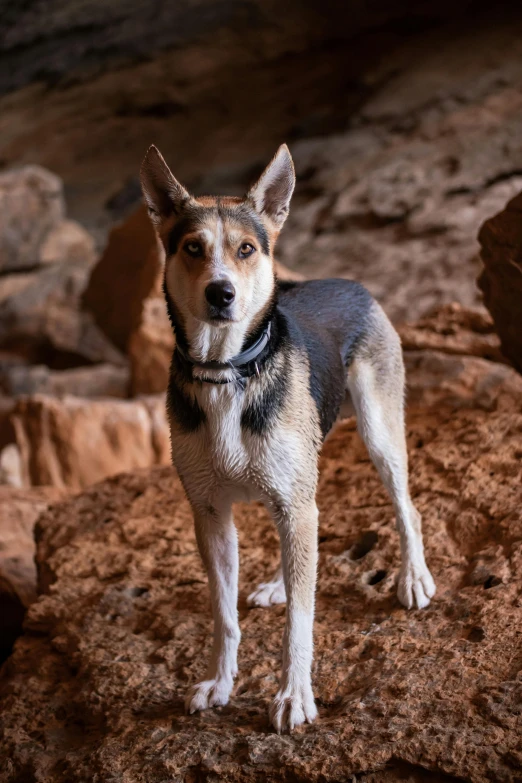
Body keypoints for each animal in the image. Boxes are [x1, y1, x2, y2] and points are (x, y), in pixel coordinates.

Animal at [139, 145, 434, 736]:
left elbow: (301, 619)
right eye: (192, 247)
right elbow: (223, 614)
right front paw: (220, 682)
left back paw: (413, 577)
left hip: (378, 433)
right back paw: (279, 581)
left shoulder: (292, 501)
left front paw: (294, 695)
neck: (226, 372)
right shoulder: (210, 513)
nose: (221, 293)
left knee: (405, 507)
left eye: (246, 249)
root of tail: (354, 282)